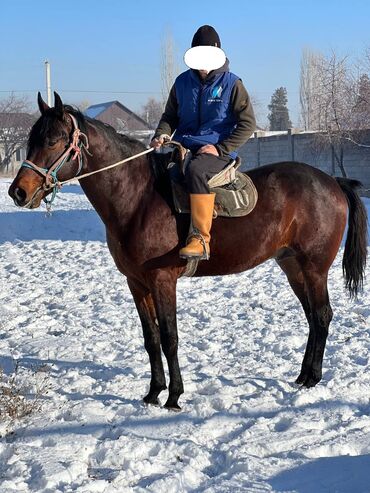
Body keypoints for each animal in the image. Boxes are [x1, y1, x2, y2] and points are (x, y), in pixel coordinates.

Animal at [7, 94, 368, 410]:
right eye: (32, 139)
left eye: (54, 140)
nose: (18, 192)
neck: (139, 198)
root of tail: (332, 181)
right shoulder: (136, 283)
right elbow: (151, 337)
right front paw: (153, 392)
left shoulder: (162, 279)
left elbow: (170, 337)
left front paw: (174, 396)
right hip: (292, 265)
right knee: (312, 317)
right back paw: (303, 375)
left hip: (314, 267)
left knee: (322, 315)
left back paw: (313, 377)